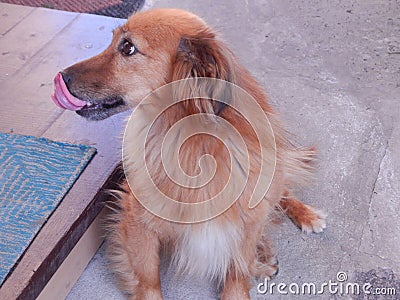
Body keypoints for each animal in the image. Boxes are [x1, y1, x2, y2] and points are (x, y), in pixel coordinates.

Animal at [51, 8, 324, 298]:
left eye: (127, 47)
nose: (62, 76)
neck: (193, 144)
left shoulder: (247, 222)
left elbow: (237, 273)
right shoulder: (138, 222)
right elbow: (149, 281)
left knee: (281, 192)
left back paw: (305, 217)